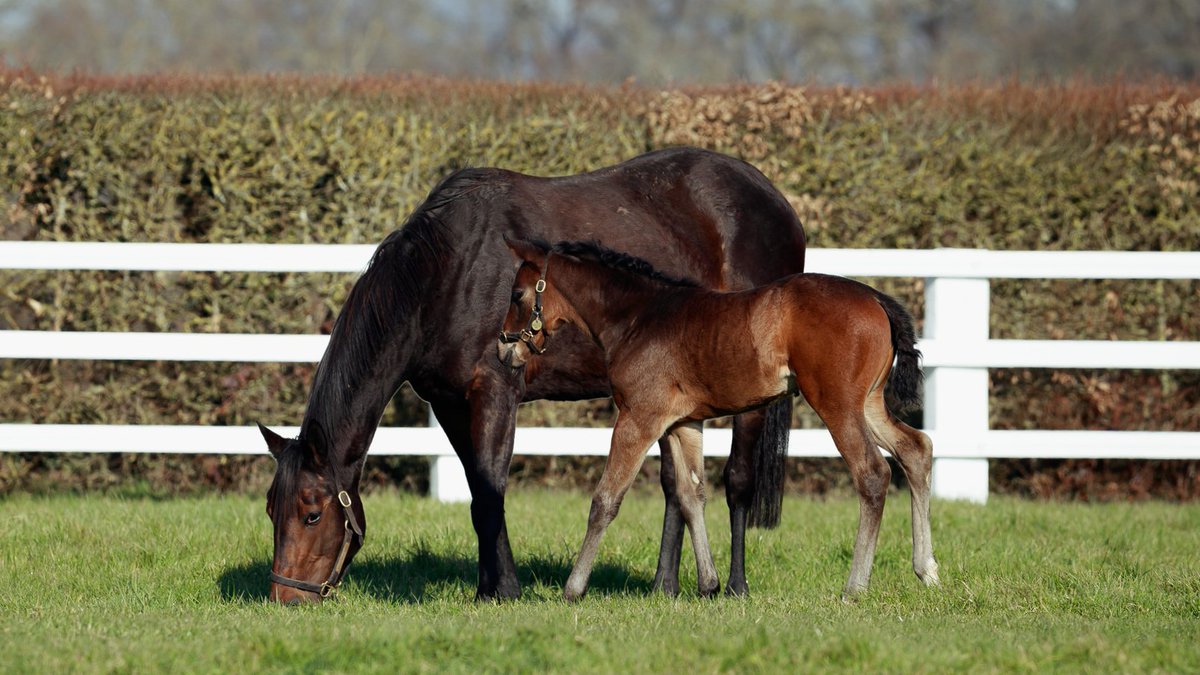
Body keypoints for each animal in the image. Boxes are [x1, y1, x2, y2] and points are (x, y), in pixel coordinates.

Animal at [256, 147, 808, 604]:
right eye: (270, 510)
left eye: (311, 513)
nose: (287, 598)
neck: (448, 269)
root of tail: (775, 202)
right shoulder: (450, 403)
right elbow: (478, 491)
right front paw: (490, 586)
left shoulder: (496, 393)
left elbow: (490, 493)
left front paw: (502, 592)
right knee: (678, 486)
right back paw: (665, 586)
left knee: (737, 480)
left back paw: (733, 586)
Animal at [498, 239, 940, 601]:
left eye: (517, 294)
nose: (504, 349)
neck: (639, 318)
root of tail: (875, 297)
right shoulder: (682, 424)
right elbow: (692, 494)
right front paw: (708, 583)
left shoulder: (638, 417)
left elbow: (606, 499)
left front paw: (573, 589)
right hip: (869, 403)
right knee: (916, 449)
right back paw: (927, 570)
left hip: (837, 404)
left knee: (873, 473)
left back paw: (855, 587)